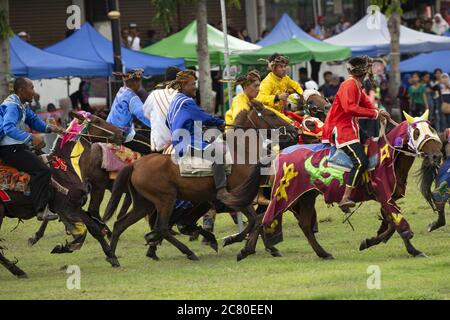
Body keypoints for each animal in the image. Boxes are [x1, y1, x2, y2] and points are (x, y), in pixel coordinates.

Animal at [0, 112, 123, 278]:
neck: (67, 166)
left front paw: (112, 256)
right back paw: (17, 270)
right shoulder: (65, 208)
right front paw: (62, 248)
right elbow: (81, 232)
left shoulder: (75, 207)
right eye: (97, 121)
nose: (121, 133)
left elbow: (93, 229)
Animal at [103, 101, 300, 262]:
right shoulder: (238, 199)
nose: (294, 130)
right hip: (165, 199)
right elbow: (254, 220)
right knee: (162, 227)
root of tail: (135, 164)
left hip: (144, 203)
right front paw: (237, 244)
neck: (239, 151)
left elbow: (258, 220)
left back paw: (113, 256)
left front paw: (251, 247)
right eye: (272, 114)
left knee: (120, 225)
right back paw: (188, 252)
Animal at [239, 110, 442, 260]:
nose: (437, 156)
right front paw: (410, 249)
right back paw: (245, 250)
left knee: (301, 224)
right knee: (264, 218)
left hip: (306, 196)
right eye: (416, 133)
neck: (388, 157)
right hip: (286, 195)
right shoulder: (385, 197)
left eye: (432, 128)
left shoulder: (387, 199)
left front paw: (372, 242)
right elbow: (397, 224)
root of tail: (280, 154)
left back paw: (322, 253)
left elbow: (392, 225)